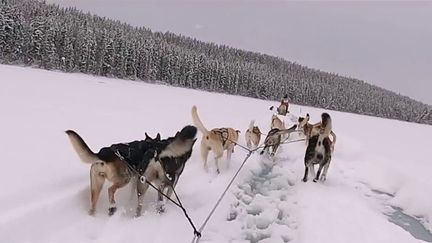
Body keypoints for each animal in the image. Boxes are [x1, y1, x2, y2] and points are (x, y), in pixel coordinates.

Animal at [66, 125, 197, 216]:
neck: (151, 143)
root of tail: (103, 153)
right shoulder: (170, 183)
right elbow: (168, 195)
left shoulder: (137, 179)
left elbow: (132, 193)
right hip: (125, 179)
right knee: (110, 190)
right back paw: (112, 206)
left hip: (97, 186)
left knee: (94, 204)